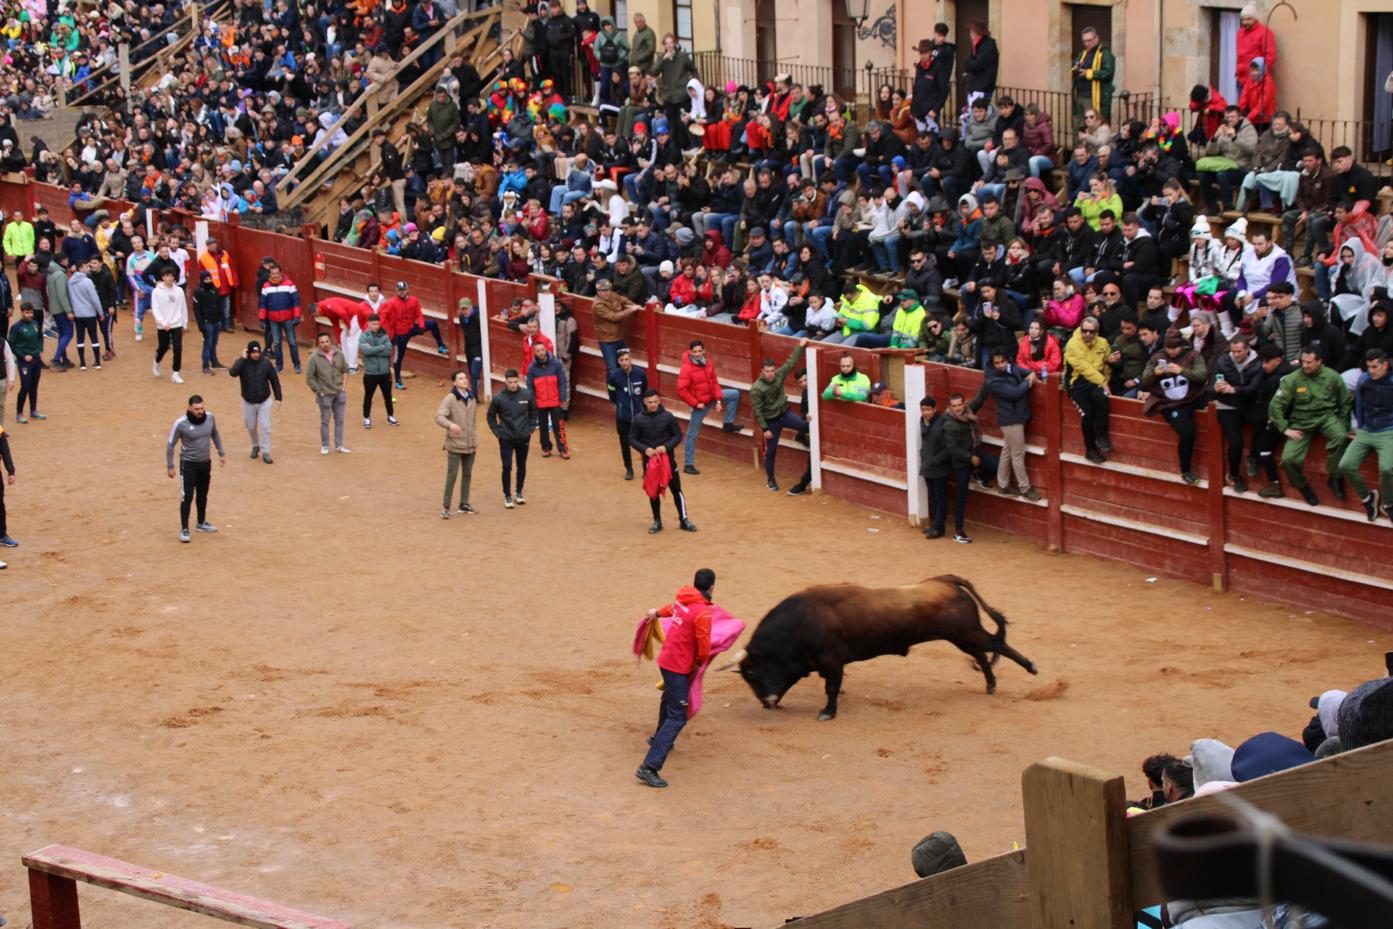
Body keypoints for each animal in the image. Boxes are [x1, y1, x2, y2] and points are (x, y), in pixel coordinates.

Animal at [729, 576, 1036, 724]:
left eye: (752, 673)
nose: (766, 702)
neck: (798, 624)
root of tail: (943, 580)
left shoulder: (832, 661)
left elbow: (831, 688)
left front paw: (828, 712)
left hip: (966, 632)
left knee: (997, 644)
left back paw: (1031, 667)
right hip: (962, 636)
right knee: (982, 655)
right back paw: (991, 685)